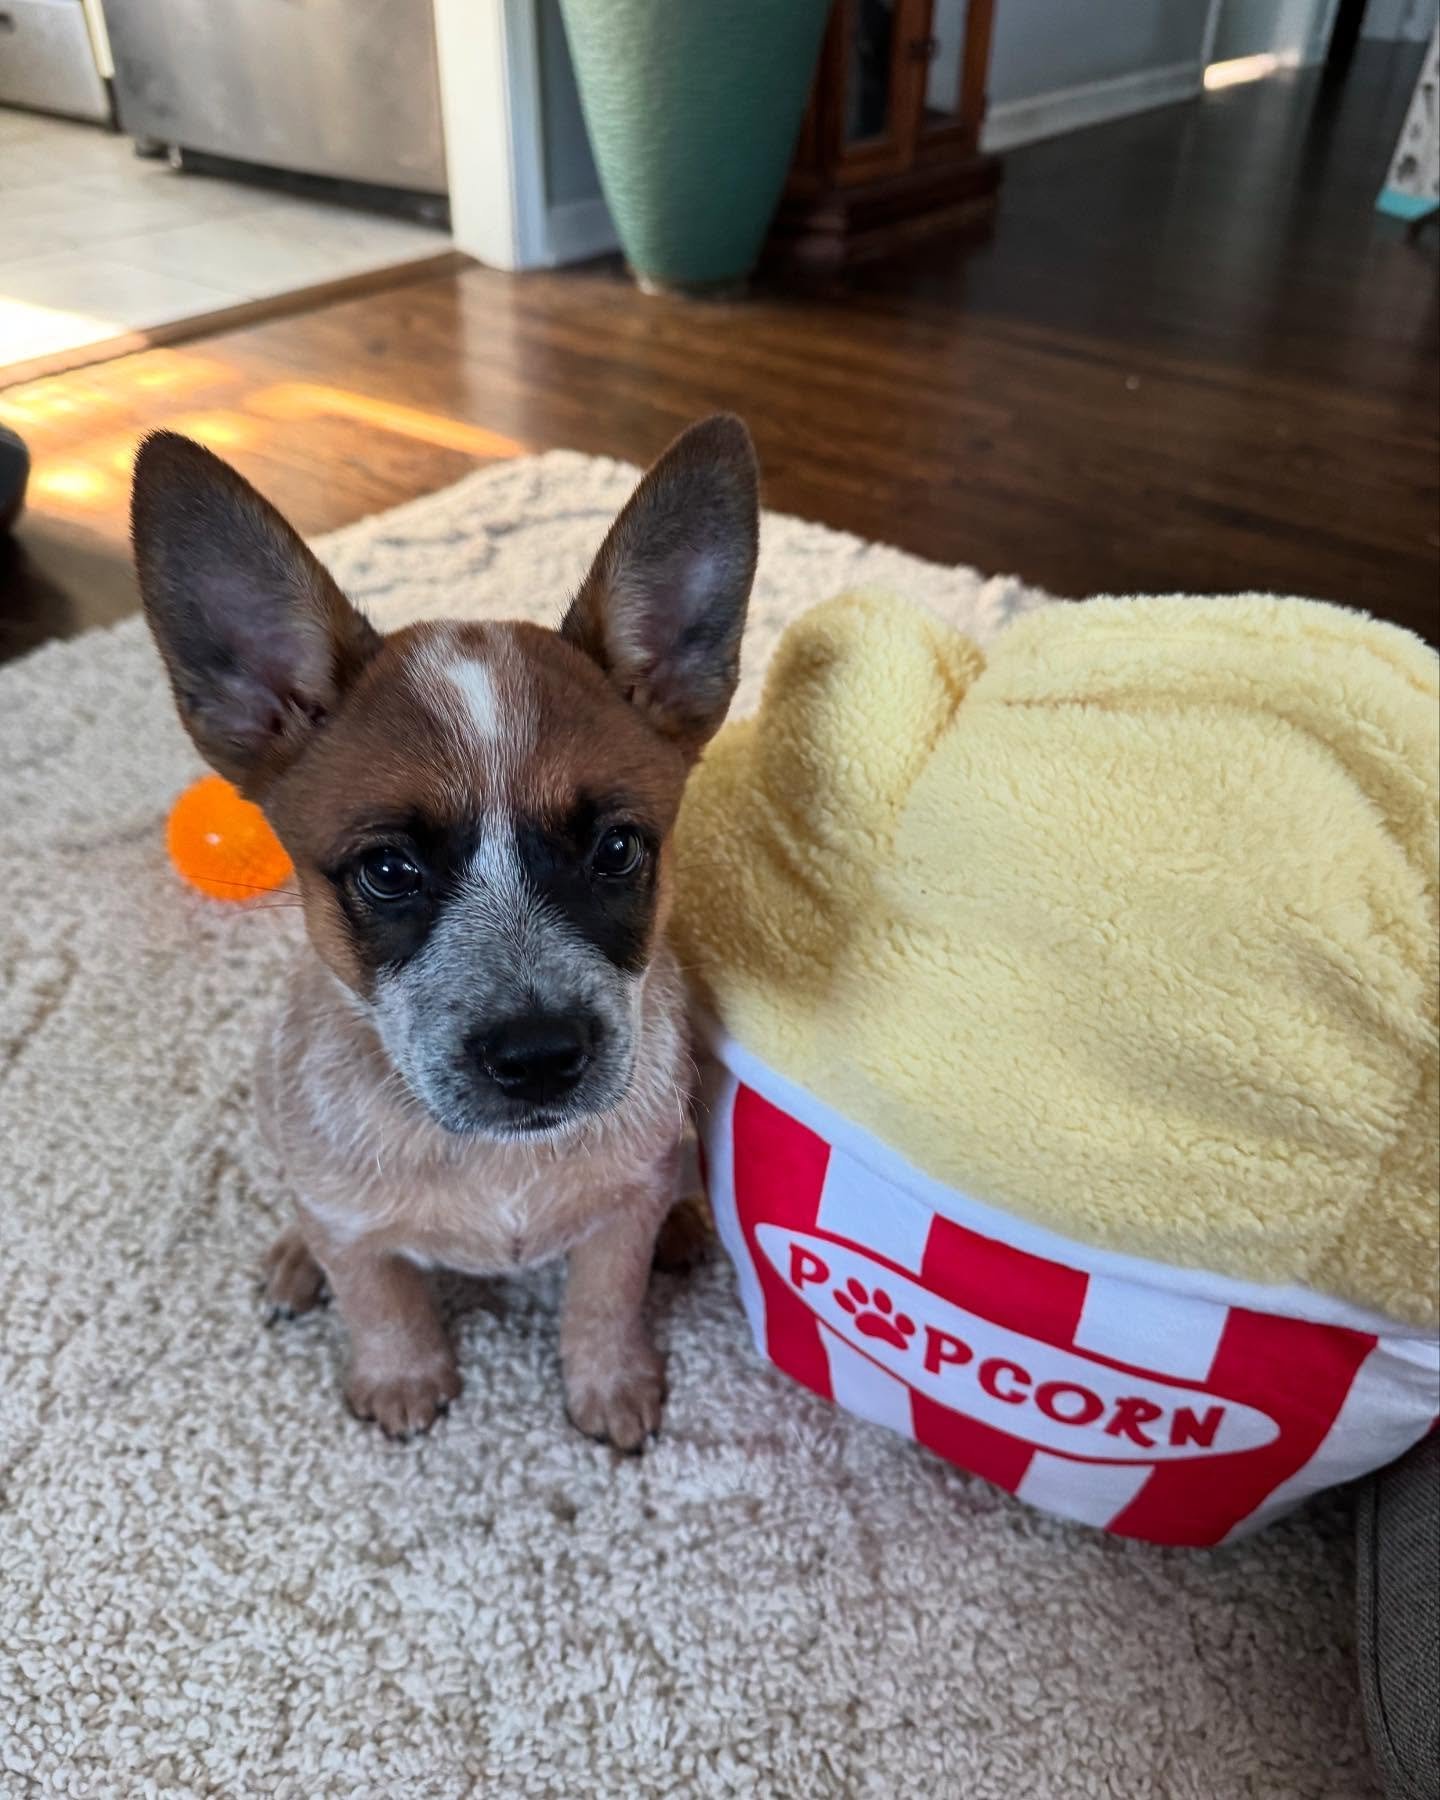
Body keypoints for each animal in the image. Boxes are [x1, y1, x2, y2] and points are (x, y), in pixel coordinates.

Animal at [132, 415, 758, 1448]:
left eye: (616, 849)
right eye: (389, 870)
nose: (539, 1057)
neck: (491, 1165)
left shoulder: (618, 1217)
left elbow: (605, 1299)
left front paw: (611, 1383)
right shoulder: (352, 1225)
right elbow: (379, 1296)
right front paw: (402, 1377)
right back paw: (294, 1258)